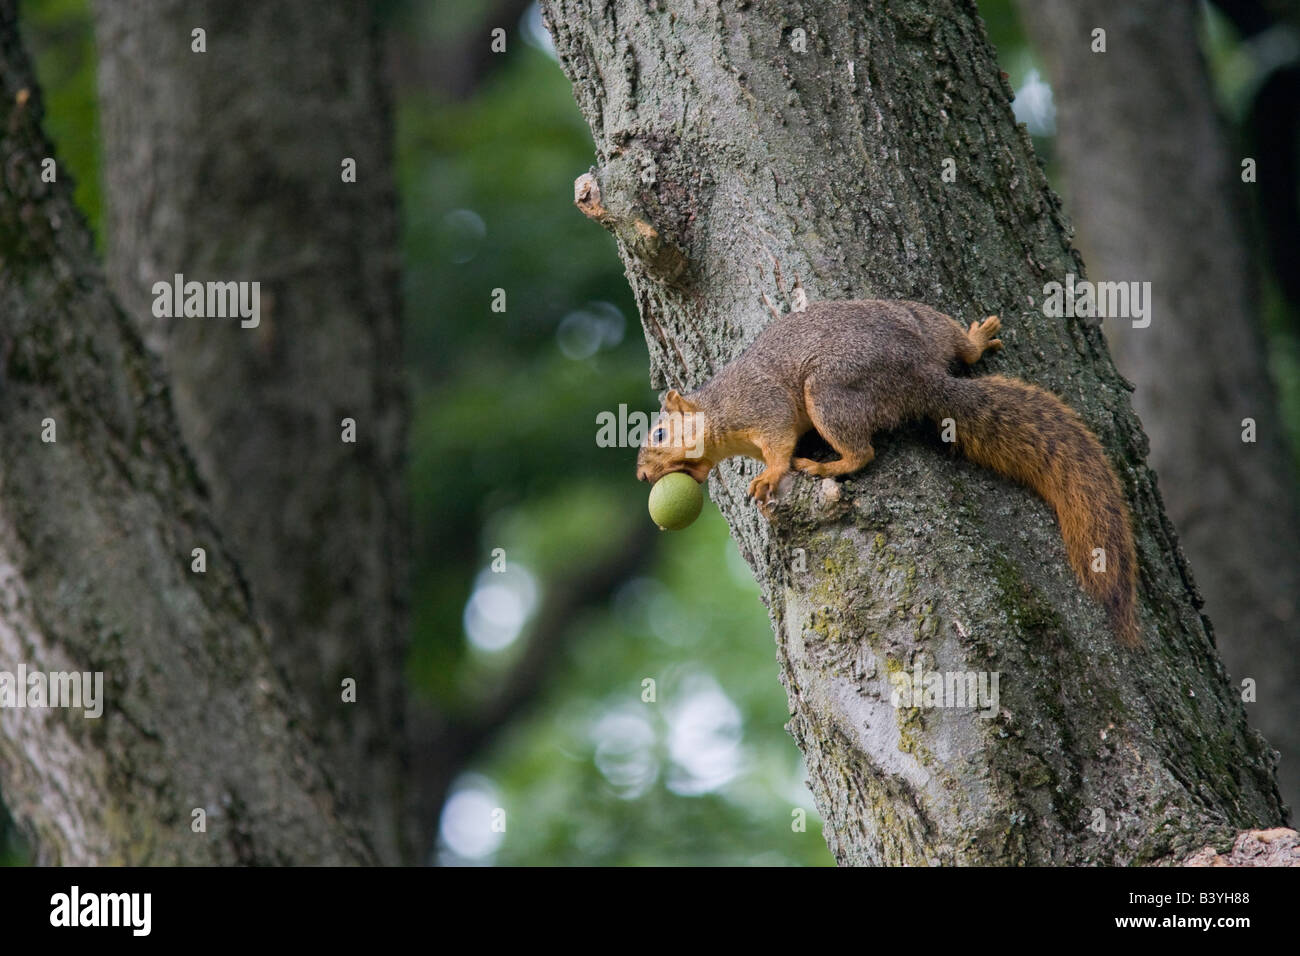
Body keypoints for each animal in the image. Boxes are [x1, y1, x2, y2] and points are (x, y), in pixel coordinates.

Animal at [637, 295, 1138, 647]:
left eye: (659, 433)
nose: (642, 476)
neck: (718, 408)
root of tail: (920, 374)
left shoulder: (763, 406)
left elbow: (778, 445)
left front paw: (768, 476)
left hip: (829, 392)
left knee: (863, 452)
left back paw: (826, 463)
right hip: (920, 321)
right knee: (957, 348)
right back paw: (975, 340)